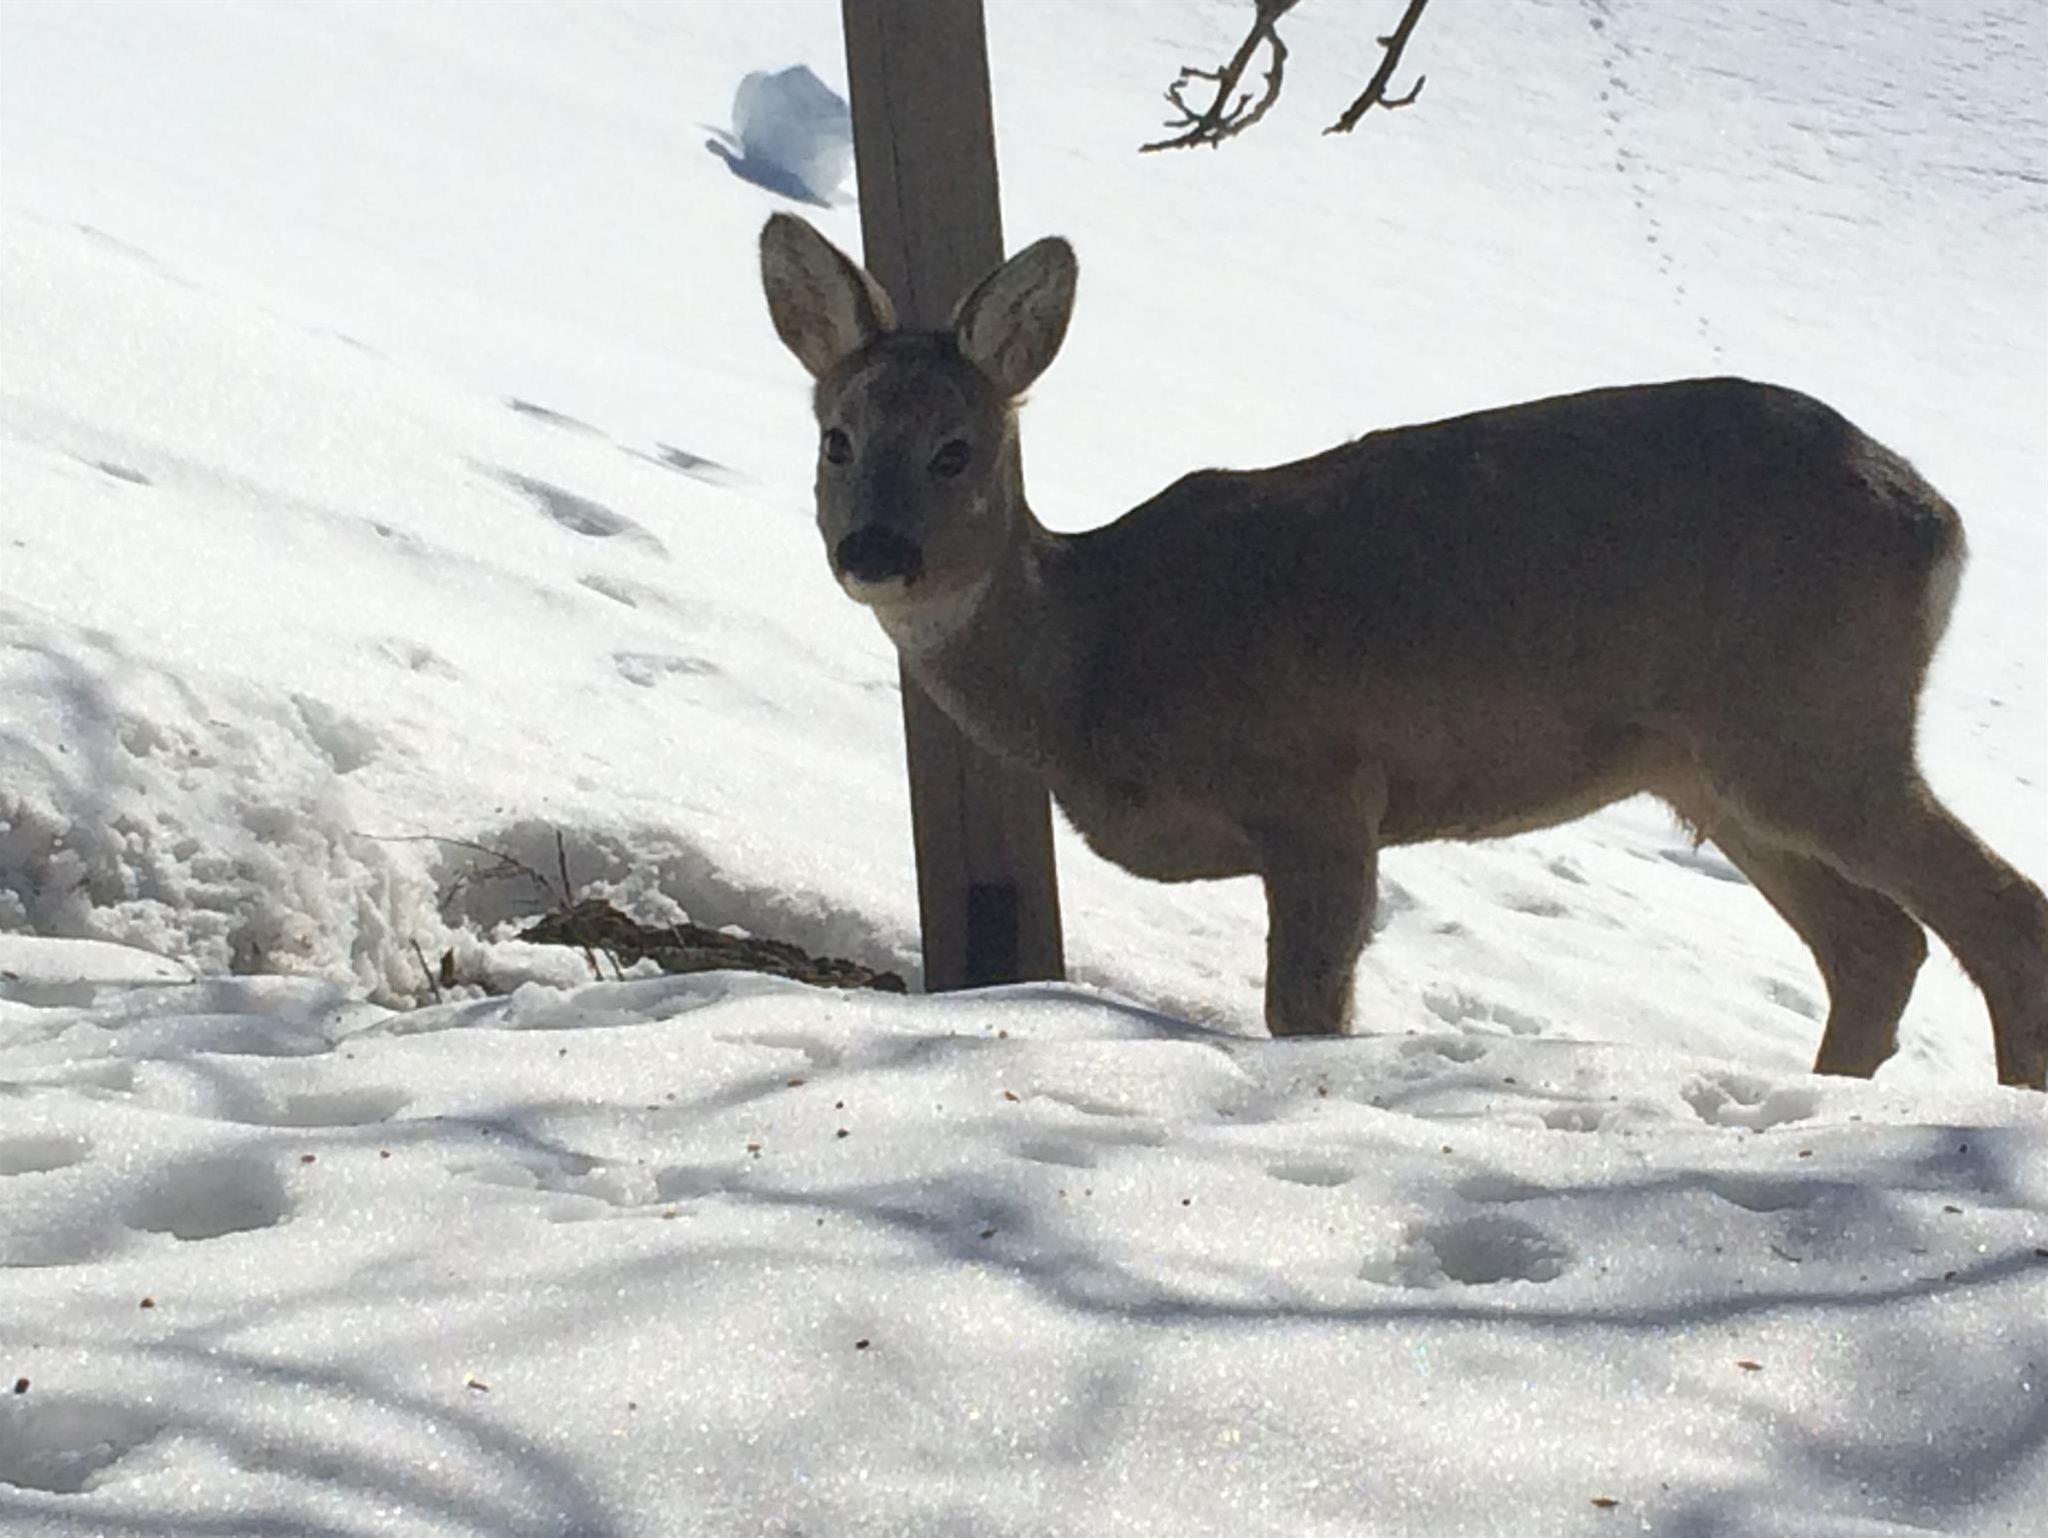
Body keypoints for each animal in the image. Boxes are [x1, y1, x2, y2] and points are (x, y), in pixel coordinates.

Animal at [758, 212, 2048, 1090]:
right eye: (835, 439)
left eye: (957, 450)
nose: (875, 551)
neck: (1099, 657)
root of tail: (1934, 519)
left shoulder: (1319, 786)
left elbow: (1302, 1005)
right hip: (1719, 766)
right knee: (1876, 944)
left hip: (1812, 720)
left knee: (1996, 912)